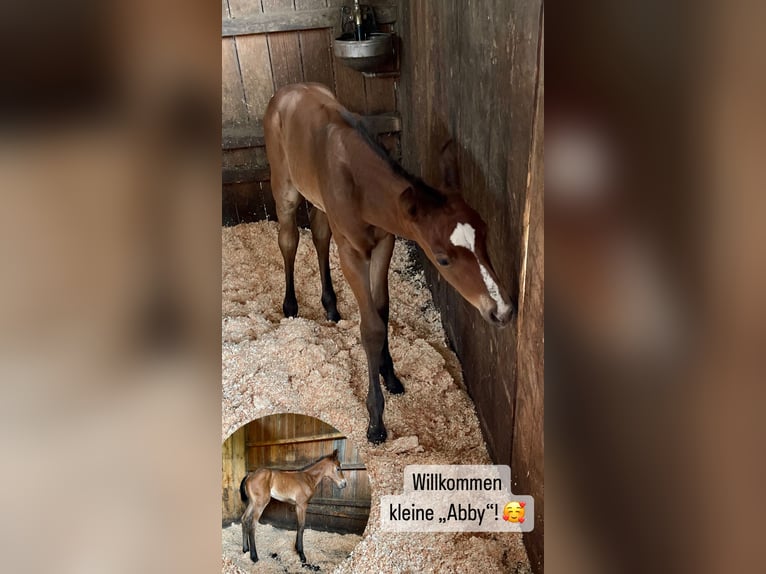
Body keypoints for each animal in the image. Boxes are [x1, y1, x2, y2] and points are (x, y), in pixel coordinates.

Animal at [264, 83, 515, 444]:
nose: (503, 311)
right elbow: (370, 327)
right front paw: (376, 421)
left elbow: (382, 309)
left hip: (319, 203)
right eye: (443, 259)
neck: (359, 185)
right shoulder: (351, 252)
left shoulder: (385, 241)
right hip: (284, 186)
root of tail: (285, 91)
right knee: (288, 238)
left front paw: (390, 374)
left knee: (320, 234)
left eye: (485, 234)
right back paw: (291, 305)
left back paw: (330, 306)